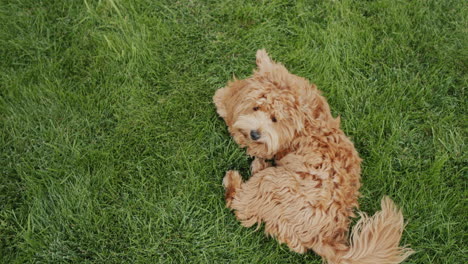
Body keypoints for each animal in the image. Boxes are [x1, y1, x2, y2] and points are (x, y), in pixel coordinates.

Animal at [213, 50, 414, 264]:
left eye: (275, 119)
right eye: (256, 108)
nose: (255, 134)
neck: (305, 122)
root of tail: (322, 237)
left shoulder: (267, 145)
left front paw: (222, 99)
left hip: (275, 182)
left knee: (240, 203)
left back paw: (234, 179)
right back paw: (258, 165)